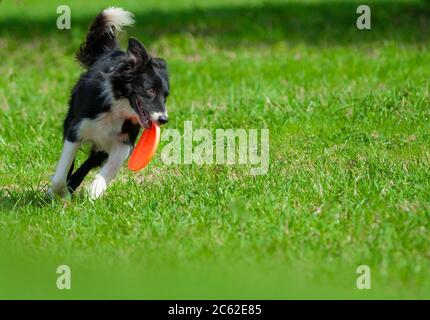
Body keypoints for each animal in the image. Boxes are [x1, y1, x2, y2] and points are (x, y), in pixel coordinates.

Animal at [50, 6, 170, 199]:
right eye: (150, 90)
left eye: (165, 96)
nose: (163, 119)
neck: (117, 109)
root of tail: (112, 51)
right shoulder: (77, 128)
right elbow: (63, 167)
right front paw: (56, 191)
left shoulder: (125, 140)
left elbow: (112, 166)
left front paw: (96, 189)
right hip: (71, 118)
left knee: (91, 161)